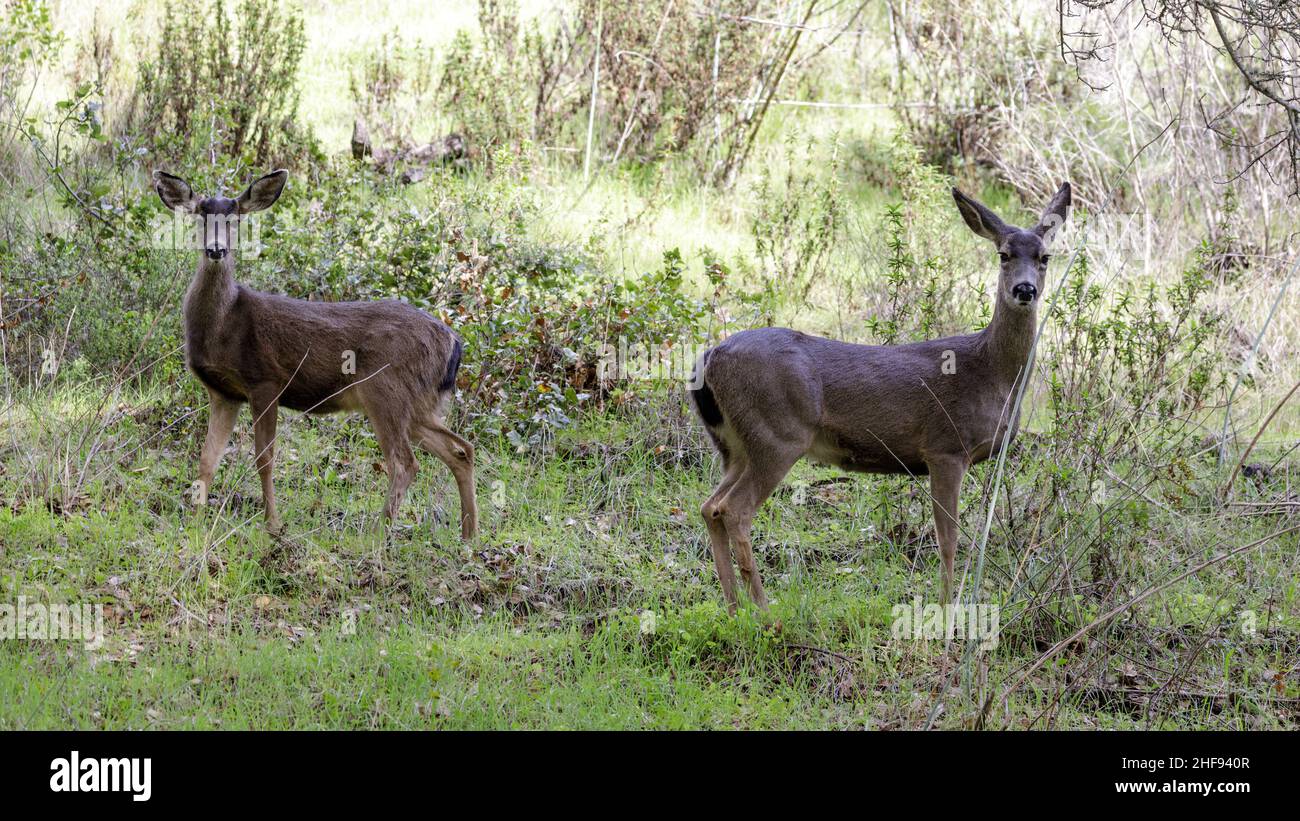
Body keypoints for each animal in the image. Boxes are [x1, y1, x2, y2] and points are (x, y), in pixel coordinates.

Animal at [154, 169, 478, 540]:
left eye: (235, 218)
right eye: (201, 215)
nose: (216, 249)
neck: (225, 325)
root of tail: (453, 342)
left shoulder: (266, 380)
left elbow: (264, 458)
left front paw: (273, 524)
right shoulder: (224, 393)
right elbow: (208, 459)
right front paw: (194, 522)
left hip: (387, 388)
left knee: (405, 462)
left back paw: (377, 533)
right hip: (418, 403)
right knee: (460, 449)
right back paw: (468, 536)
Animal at [689, 182, 1071, 611]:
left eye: (1044, 257)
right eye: (1003, 254)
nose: (1025, 289)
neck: (990, 373)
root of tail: (710, 357)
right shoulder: (945, 447)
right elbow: (949, 539)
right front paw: (946, 608)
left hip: (734, 445)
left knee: (710, 506)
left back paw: (733, 607)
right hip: (777, 435)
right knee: (735, 510)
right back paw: (763, 607)